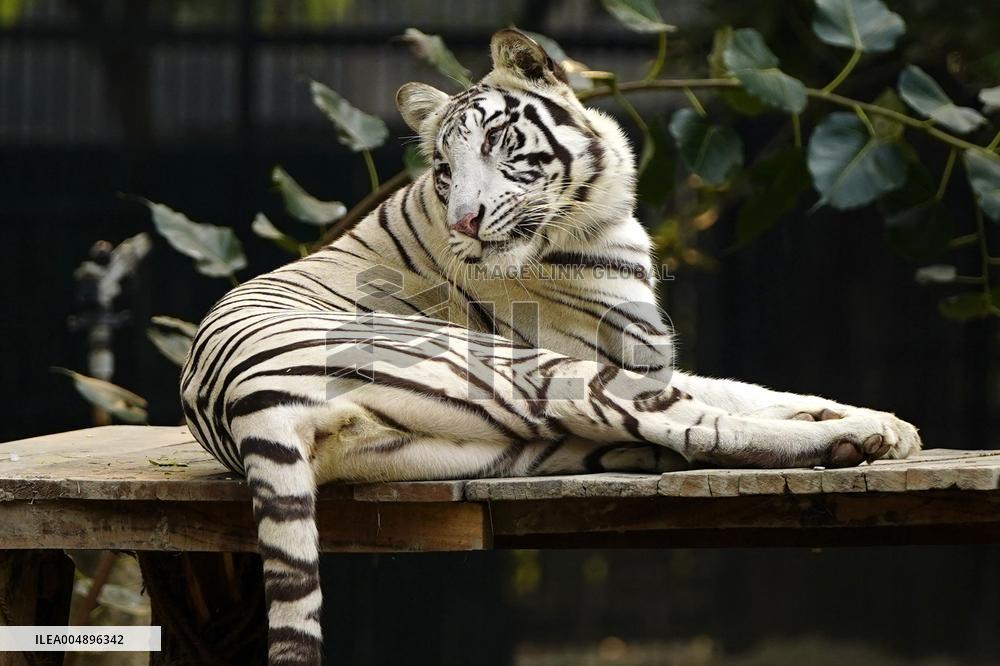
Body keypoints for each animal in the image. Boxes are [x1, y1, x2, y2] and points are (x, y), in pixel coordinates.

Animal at [180, 29, 921, 665]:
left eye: (495, 141)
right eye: (444, 168)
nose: (465, 222)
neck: (596, 217)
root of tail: (247, 402)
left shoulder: (650, 360)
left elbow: (754, 390)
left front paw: (883, 421)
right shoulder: (624, 360)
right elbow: (727, 402)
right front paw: (867, 427)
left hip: (480, 449)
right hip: (532, 370)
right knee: (696, 431)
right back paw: (842, 446)